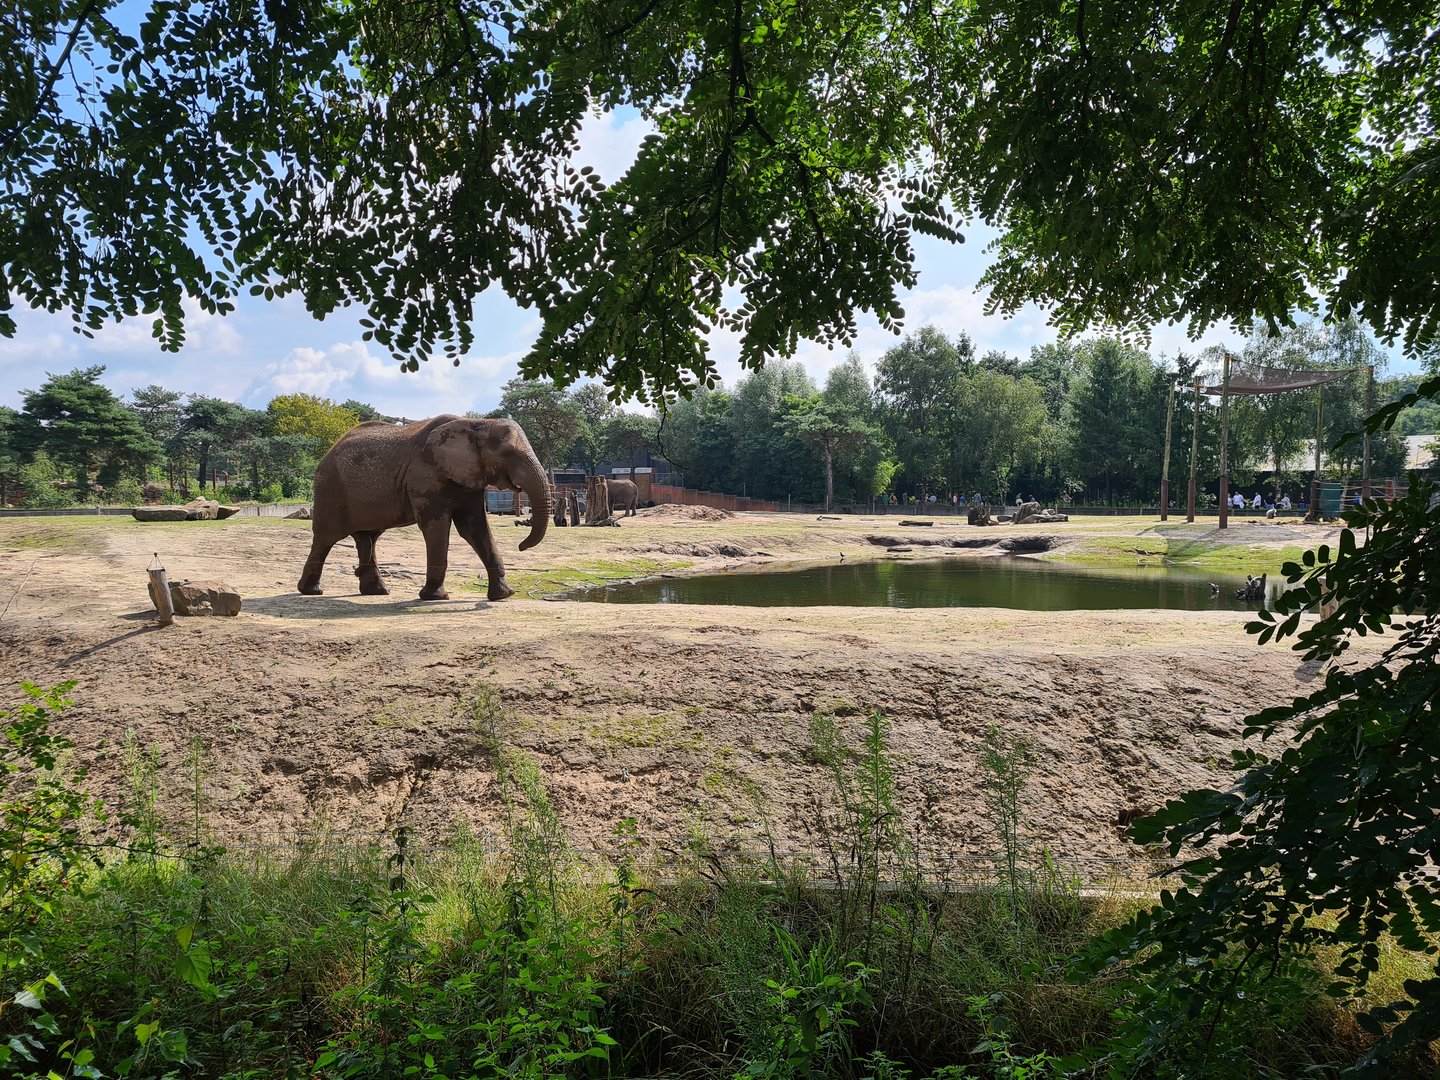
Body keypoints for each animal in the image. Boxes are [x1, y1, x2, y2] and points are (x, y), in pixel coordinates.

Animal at [296, 415, 550, 601]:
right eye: (507, 454)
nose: (520, 546)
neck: (475, 423)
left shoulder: (469, 479)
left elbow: (474, 528)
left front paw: (503, 595)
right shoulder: (425, 476)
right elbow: (437, 527)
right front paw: (434, 597)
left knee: (367, 539)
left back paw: (377, 592)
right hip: (331, 489)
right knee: (326, 538)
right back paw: (312, 591)